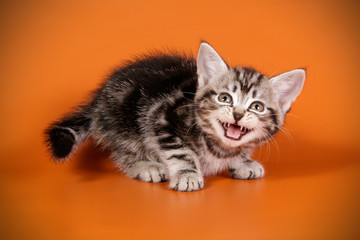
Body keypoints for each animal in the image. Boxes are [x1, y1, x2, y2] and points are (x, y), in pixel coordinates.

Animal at [44, 42, 304, 191]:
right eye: (225, 98)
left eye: (257, 107)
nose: (238, 114)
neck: (219, 147)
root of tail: (98, 99)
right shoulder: (161, 116)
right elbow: (180, 151)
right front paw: (187, 174)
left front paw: (243, 161)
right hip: (124, 121)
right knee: (122, 151)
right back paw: (145, 165)